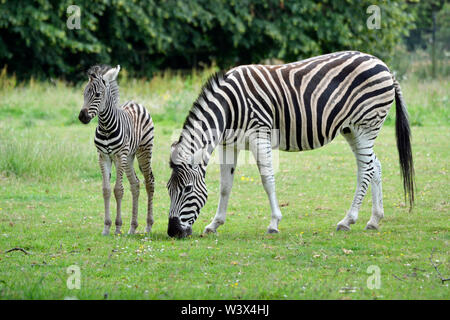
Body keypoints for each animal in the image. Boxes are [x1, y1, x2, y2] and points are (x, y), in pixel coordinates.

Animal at [78, 65, 155, 235]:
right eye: (84, 93)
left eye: (97, 94)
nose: (82, 117)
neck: (106, 127)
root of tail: (135, 103)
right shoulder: (103, 157)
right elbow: (106, 190)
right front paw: (107, 227)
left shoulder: (119, 156)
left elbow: (118, 190)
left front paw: (118, 226)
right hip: (130, 157)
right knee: (135, 184)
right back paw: (133, 227)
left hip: (143, 152)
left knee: (149, 182)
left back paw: (148, 225)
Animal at [168, 51, 414, 239]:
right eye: (168, 188)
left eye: (187, 189)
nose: (173, 232)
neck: (229, 108)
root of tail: (384, 66)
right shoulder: (229, 144)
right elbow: (225, 186)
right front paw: (214, 224)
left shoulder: (260, 134)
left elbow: (267, 180)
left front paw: (274, 223)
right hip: (352, 129)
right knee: (375, 166)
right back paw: (374, 219)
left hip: (366, 126)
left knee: (366, 170)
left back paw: (347, 220)